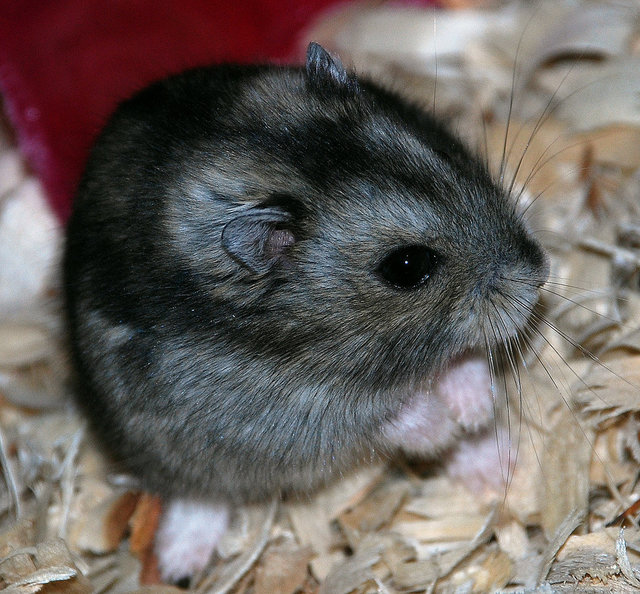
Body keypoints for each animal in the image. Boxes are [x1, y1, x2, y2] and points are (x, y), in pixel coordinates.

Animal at [62, 44, 548, 580]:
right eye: (407, 266)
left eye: (445, 158)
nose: (539, 275)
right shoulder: (289, 416)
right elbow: (389, 416)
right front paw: (443, 424)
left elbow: (463, 361)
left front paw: (474, 411)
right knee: (200, 495)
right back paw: (179, 562)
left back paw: (495, 465)